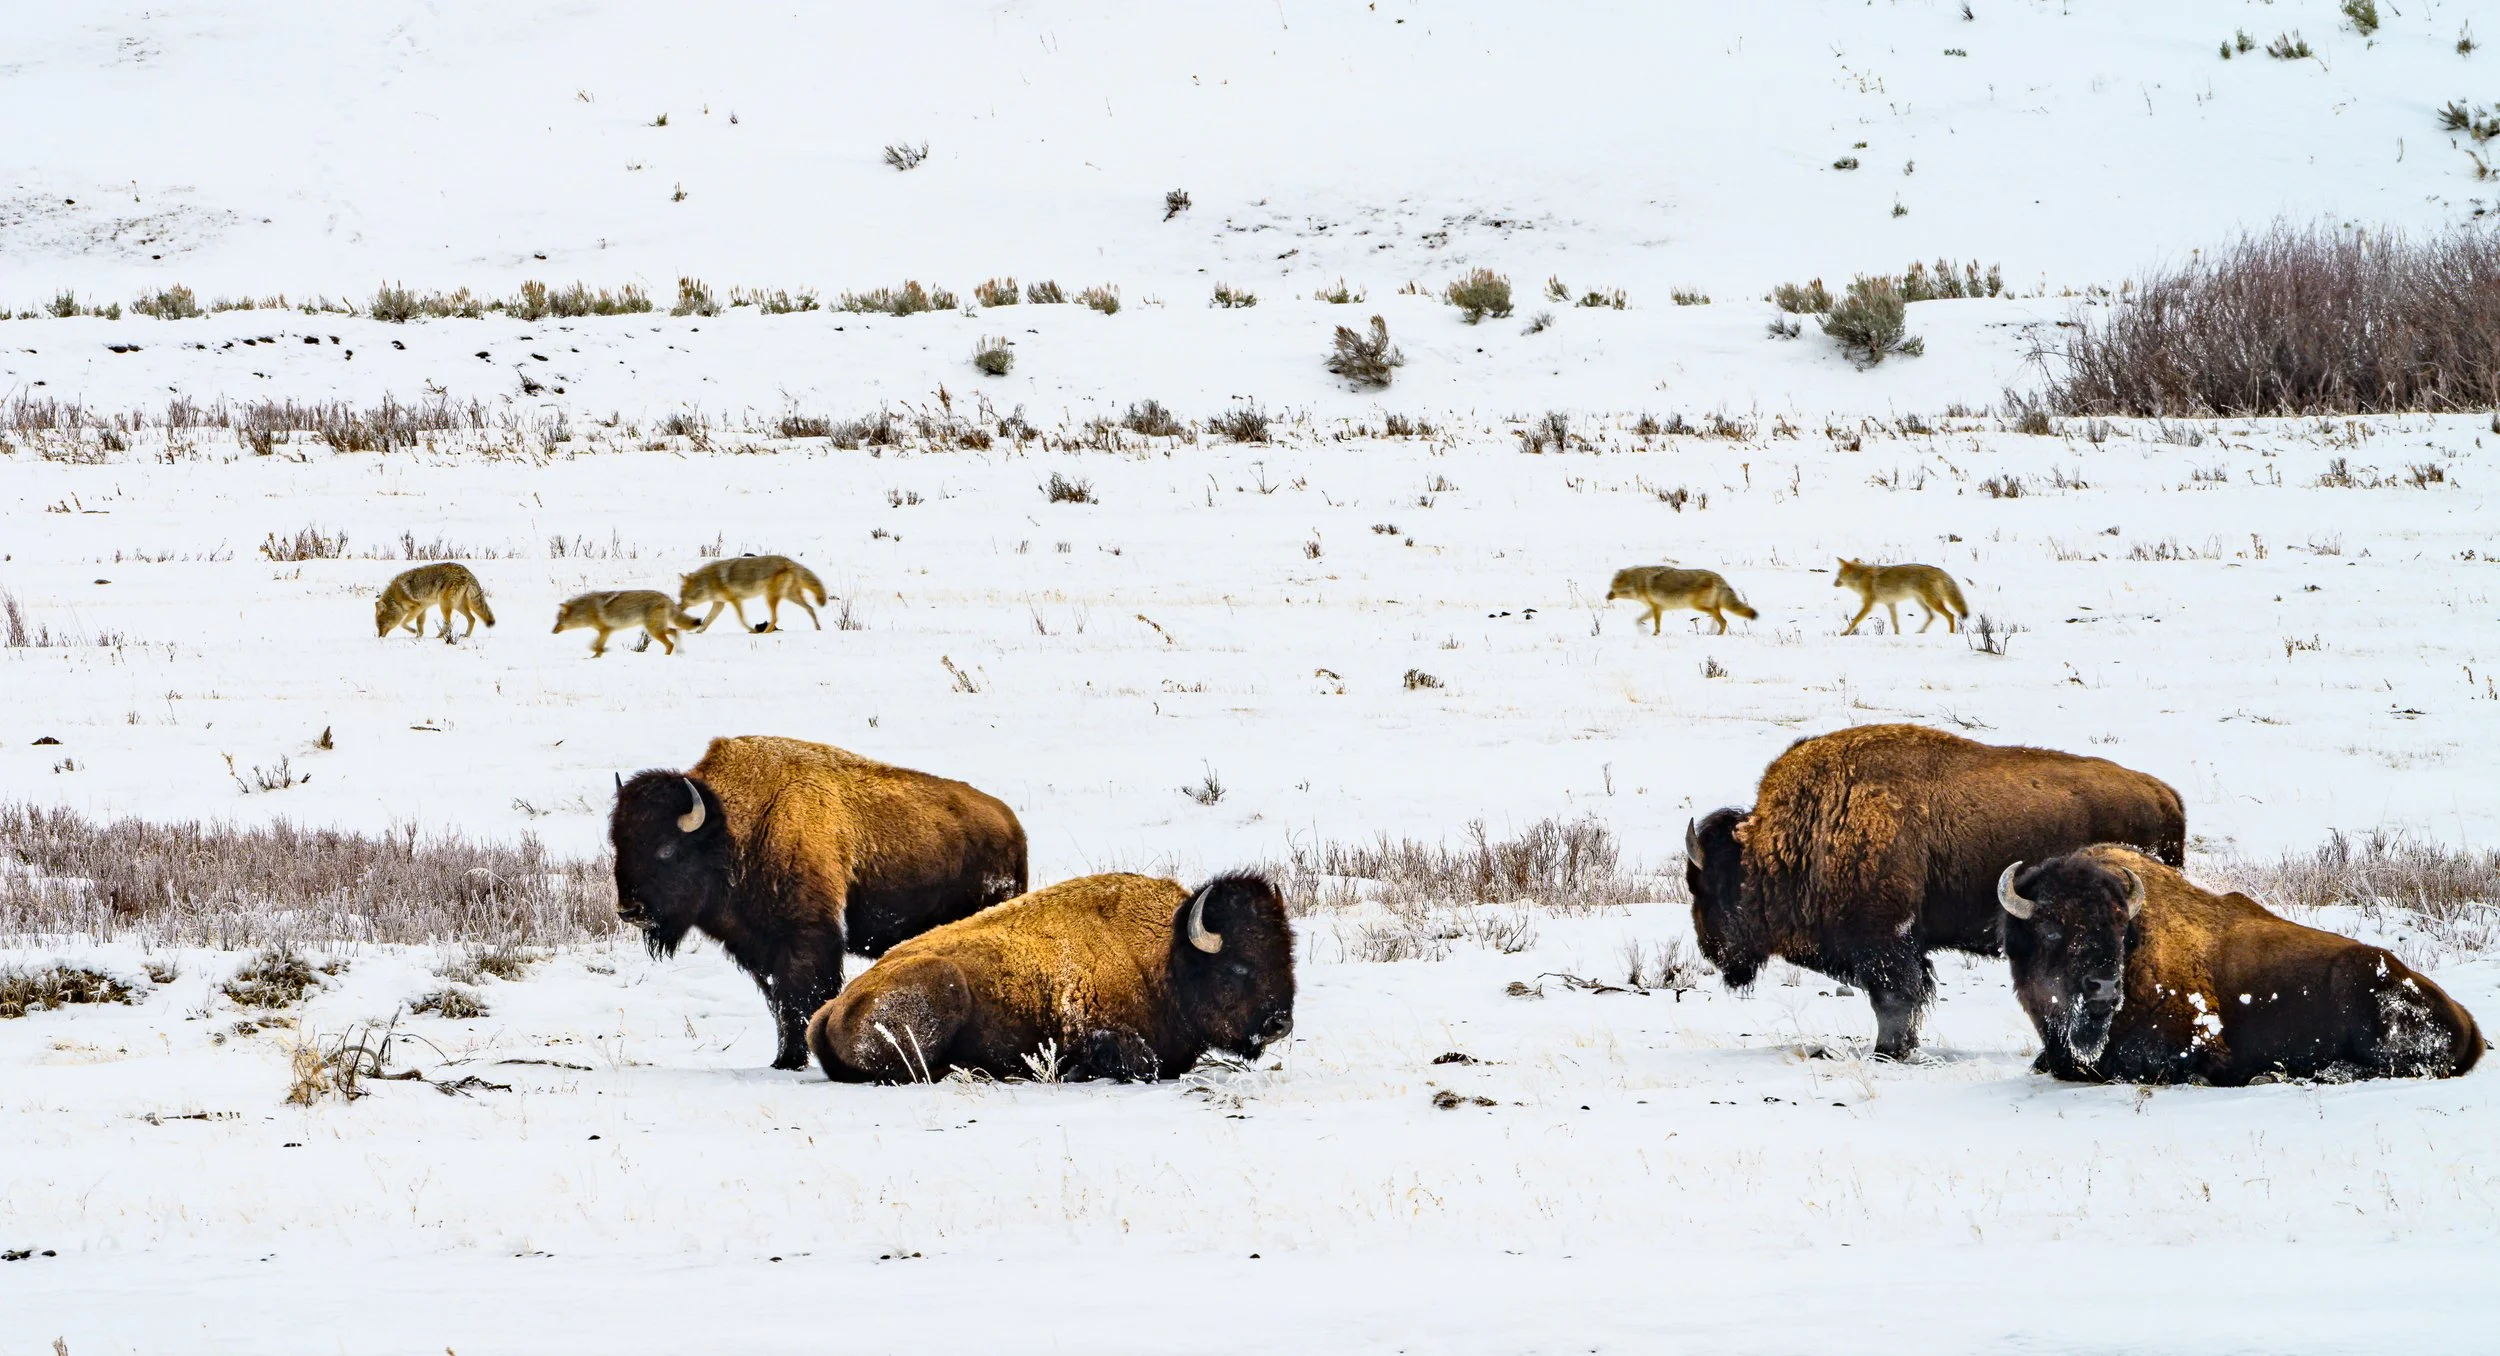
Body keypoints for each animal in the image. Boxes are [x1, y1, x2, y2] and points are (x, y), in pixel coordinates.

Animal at [611, 735, 1027, 1069]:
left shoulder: (808, 939)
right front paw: (784, 1058)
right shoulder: (761, 948)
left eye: (666, 849)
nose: (630, 911)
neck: (736, 827)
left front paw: (793, 1060)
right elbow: (781, 1003)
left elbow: (803, 998)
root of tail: (1011, 825)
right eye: (619, 844)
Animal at [807, 871, 1295, 1083]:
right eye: (1238, 965)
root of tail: (832, 1009)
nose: (1280, 1024)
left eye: (1286, 955)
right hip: (941, 990)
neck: (1164, 959)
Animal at [1685, 723, 2186, 1059]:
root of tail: (2165, 795)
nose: (1711, 947)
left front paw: (1889, 1051)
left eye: (1707, 885)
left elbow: (1893, 999)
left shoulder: (1885, 942)